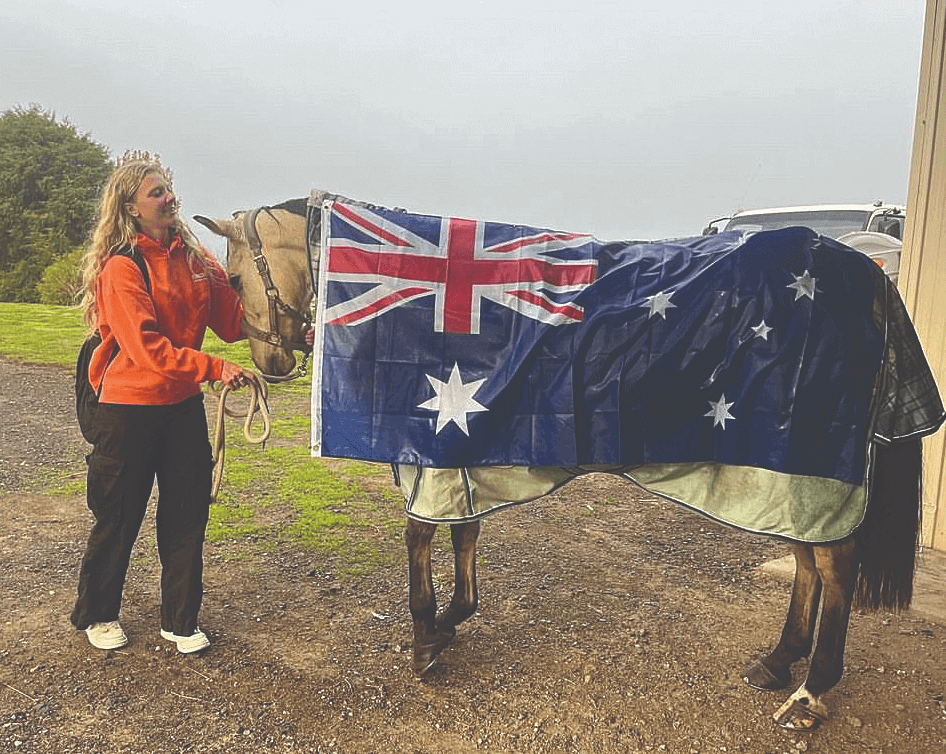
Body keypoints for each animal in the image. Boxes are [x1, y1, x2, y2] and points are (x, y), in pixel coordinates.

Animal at [192, 195, 928, 728]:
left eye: (233, 276)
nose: (267, 364)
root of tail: (863, 270)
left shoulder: (437, 451)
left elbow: (420, 537)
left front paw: (427, 637)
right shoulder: (462, 449)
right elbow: (463, 537)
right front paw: (452, 619)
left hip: (805, 463)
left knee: (833, 565)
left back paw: (811, 692)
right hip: (781, 471)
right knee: (808, 560)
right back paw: (779, 663)